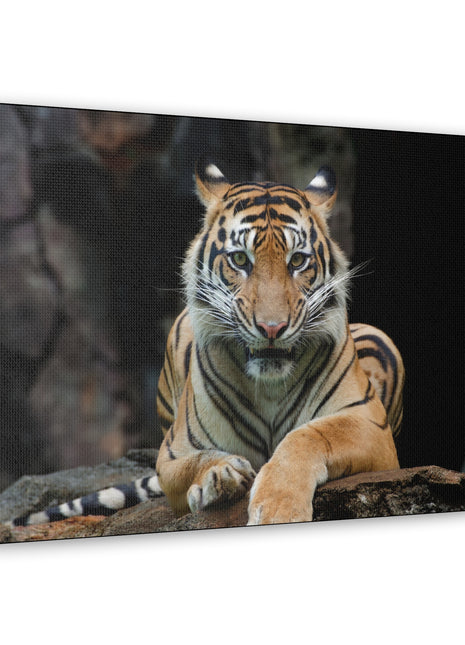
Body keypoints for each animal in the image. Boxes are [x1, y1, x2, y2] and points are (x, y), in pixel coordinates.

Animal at [7, 162, 404, 528]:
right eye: (240, 259)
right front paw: (220, 475)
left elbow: (307, 436)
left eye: (297, 261)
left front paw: (278, 510)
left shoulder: (371, 427)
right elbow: (197, 461)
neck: (270, 386)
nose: (272, 328)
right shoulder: (172, 453)